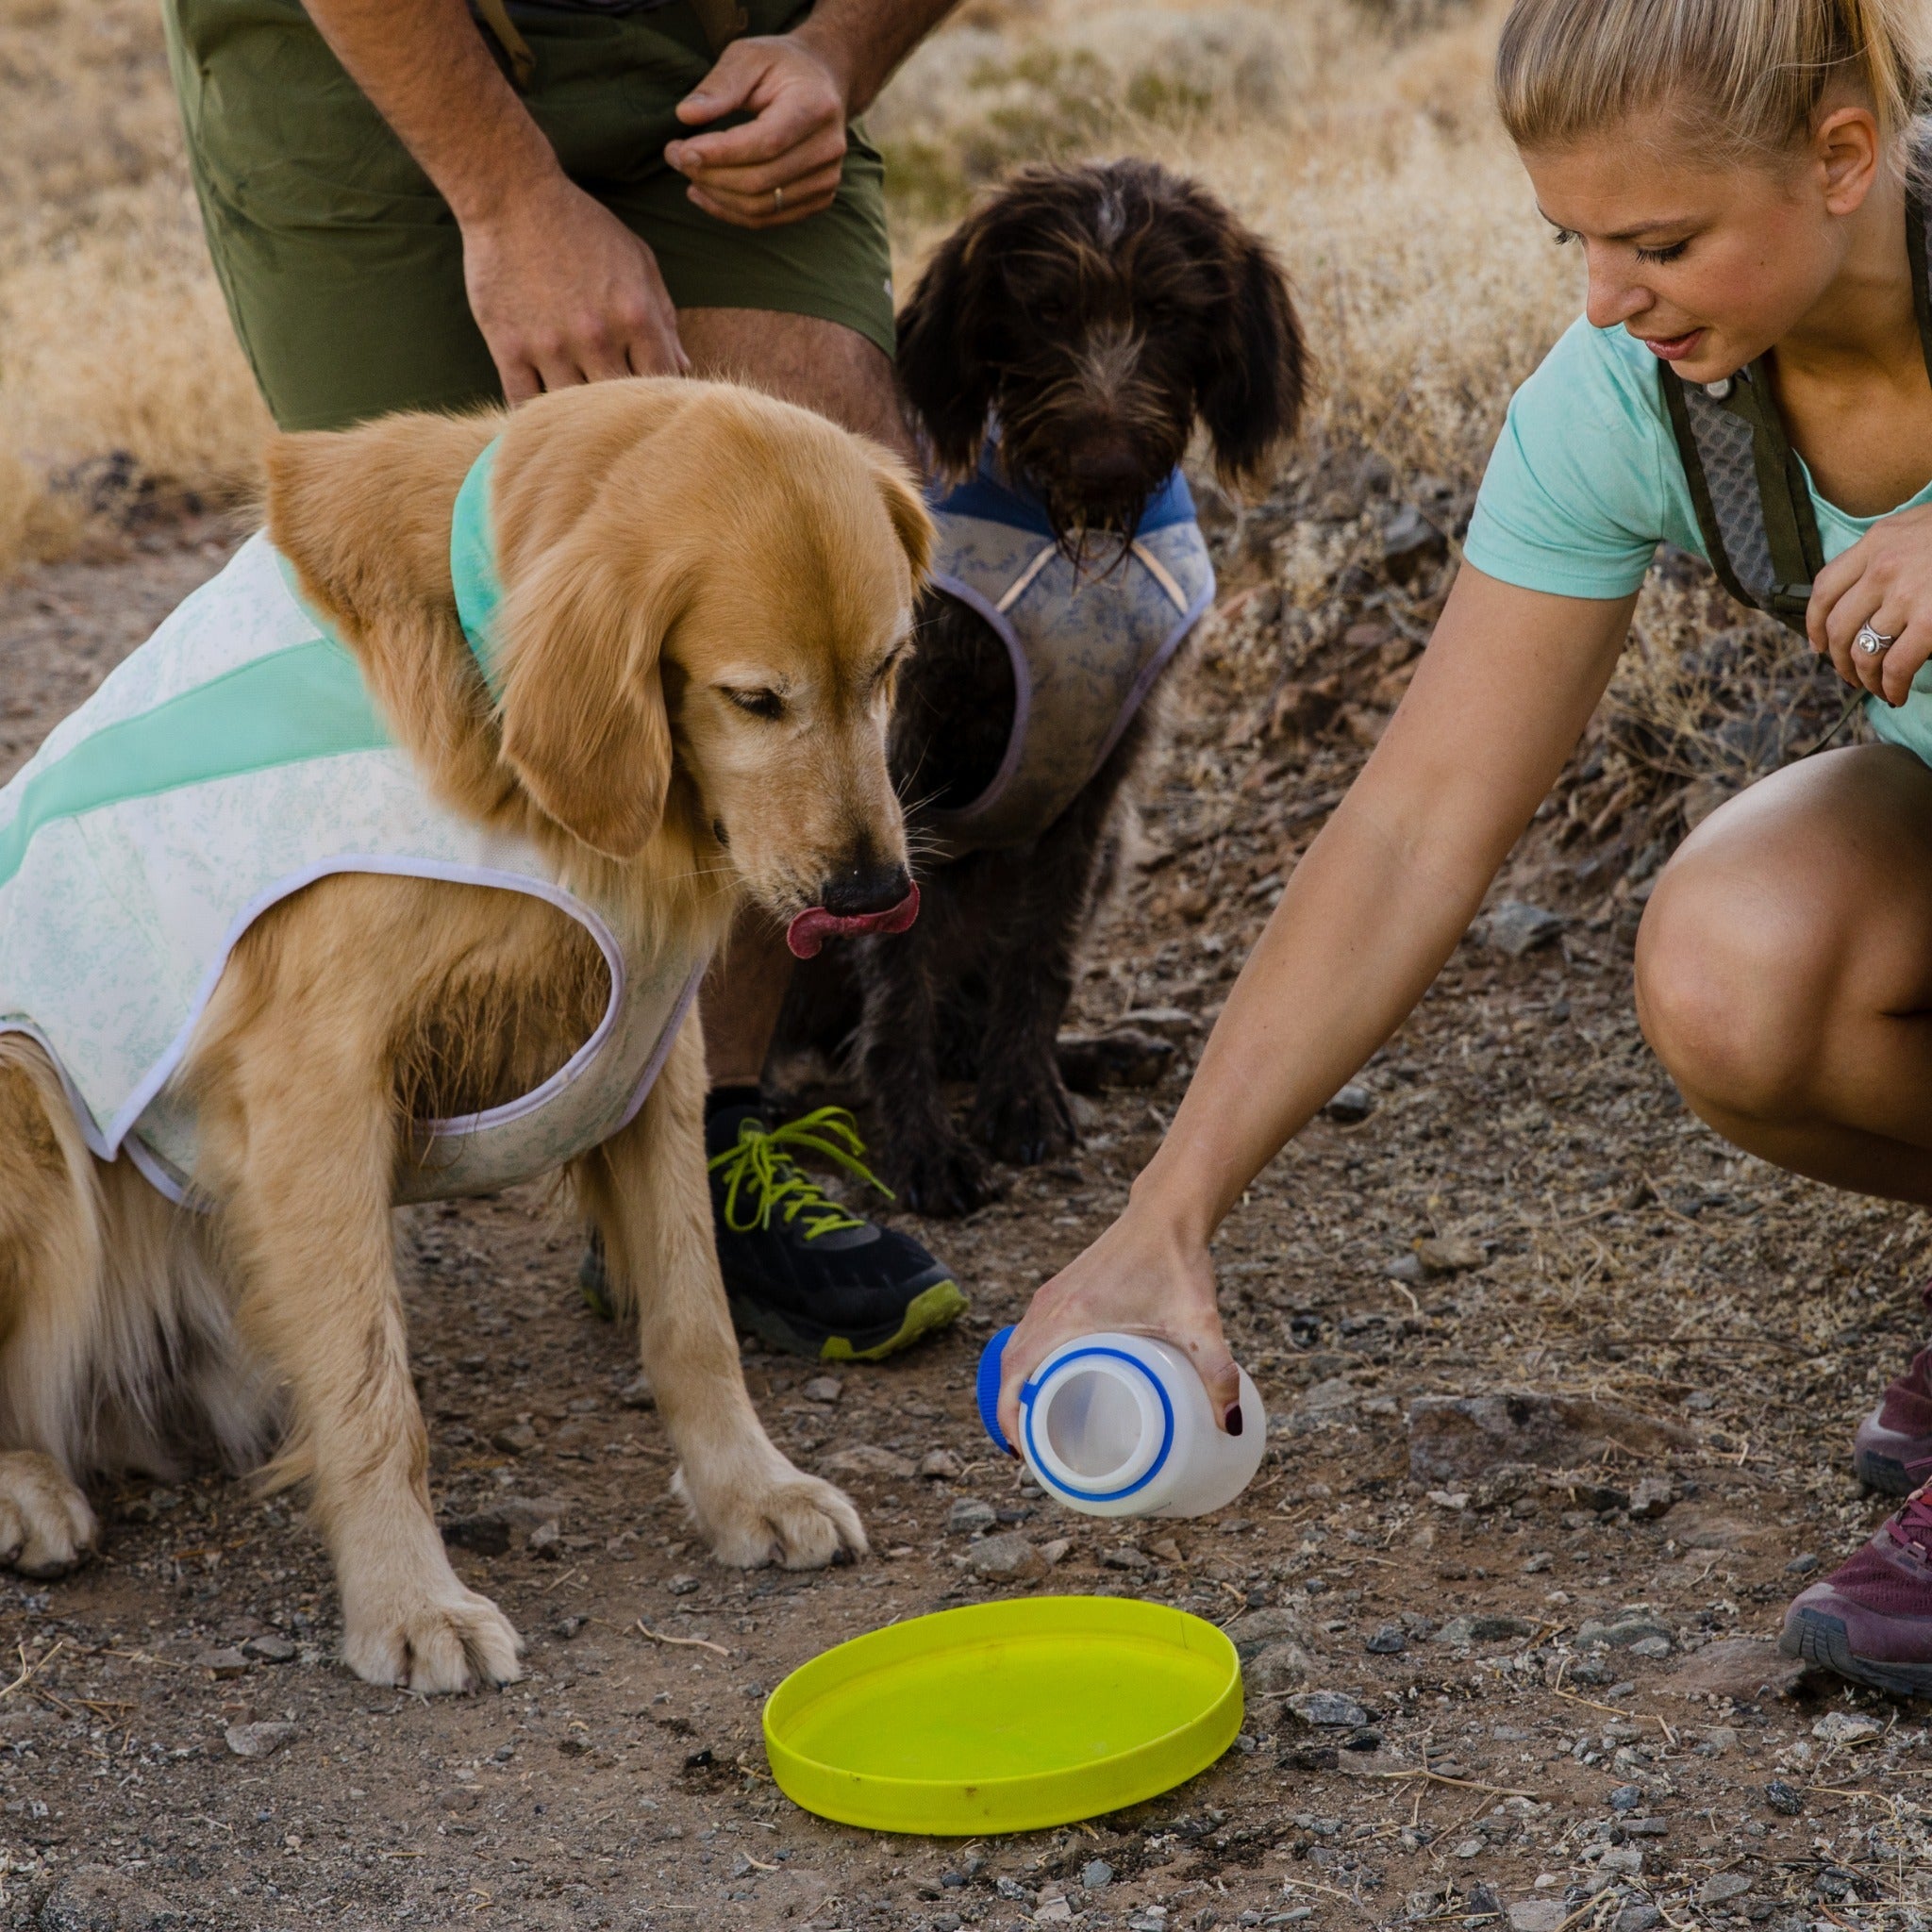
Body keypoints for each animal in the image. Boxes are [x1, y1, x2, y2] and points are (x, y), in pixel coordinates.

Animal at [0, 380, 927, 1692]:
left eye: (889, 668)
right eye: (755, 699)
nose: (872, 892)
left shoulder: (653, 1050)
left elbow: (693, 1314)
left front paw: (750, 1489)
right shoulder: (315, 1083)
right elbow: (373, 1392)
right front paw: (407, 1600)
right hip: (24, 1092)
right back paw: (26, 1488)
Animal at [784, 162, 1313, 1205]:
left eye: (1167, 311)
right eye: (1045, 310)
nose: (1103, 462)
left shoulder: (1099, 782)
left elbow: (1044, 952)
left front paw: (1026, 1094)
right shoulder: (900, 763)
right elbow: (896, 979)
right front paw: (920, 1143)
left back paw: (1096, 1049)